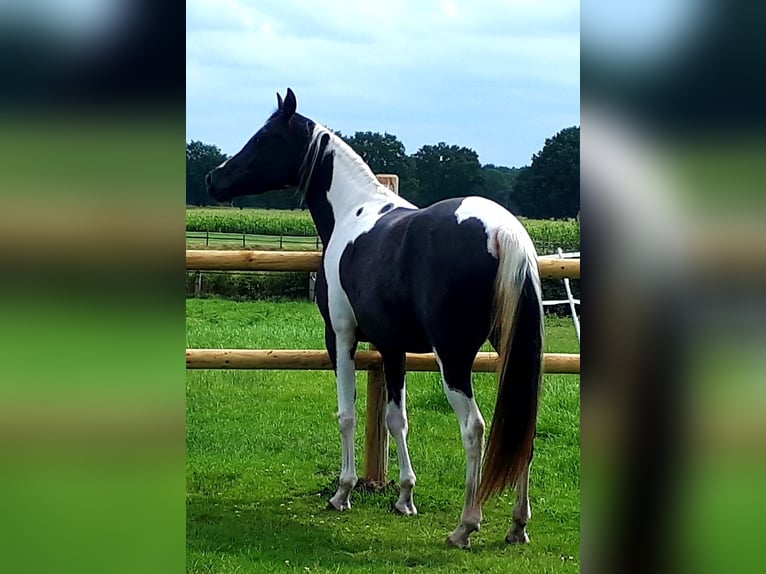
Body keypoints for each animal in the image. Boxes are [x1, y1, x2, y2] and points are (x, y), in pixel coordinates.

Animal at [207, 89, 544, 548]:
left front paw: (343, 492)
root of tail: (501, 231)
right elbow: (396, 419)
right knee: (522, 426)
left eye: (263, 138)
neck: (354, 210)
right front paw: (404, 497)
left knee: (474, 428)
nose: (213, 178)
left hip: (453, 356)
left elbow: (347, 415)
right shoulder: (392, 346)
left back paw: (465, 526)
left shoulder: (341, 336)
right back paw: (517, 525)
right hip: (513, 351)